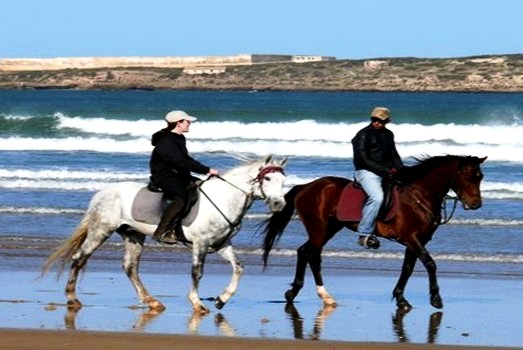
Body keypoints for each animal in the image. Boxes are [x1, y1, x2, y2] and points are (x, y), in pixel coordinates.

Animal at [41, 156, 288, 314]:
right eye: (267, 179)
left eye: (283, 181)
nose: (279, 204)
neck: (225, 198)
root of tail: (102, 193)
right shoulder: (200, 243)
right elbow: (197, 273)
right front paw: (197, 304)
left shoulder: (221, 244)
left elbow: (239, 268)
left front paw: (221, 299)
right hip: (101, 230)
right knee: (79, 258)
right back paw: (72, 298)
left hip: (133, 235)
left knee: (130, 267)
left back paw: (151, 301)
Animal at [262, 154, 488, 310]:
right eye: (469, 176)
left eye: (480, 177)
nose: (476, 204)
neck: (419, 197)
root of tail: (306, 186)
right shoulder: (412, 238)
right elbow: (430, 264)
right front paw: (436, 298)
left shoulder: (416, 241)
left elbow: (408, 268)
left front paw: (400, 298)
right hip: (319, 228)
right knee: (312, 256)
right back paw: (319, 295)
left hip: (329, 228)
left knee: (304, 252)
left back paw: (299, 293)